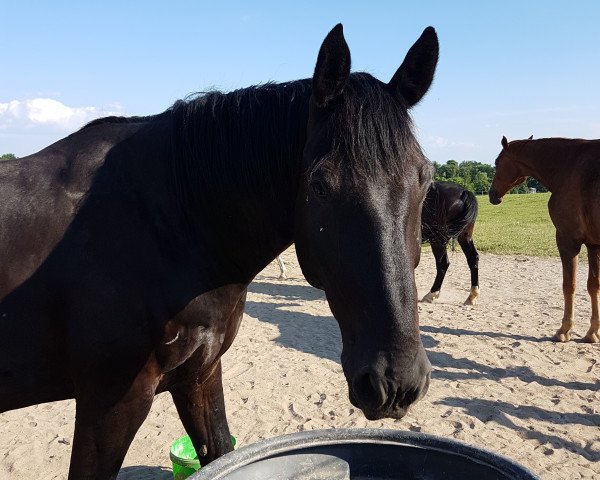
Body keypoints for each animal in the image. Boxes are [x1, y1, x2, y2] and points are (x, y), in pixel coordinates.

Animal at [0, 24, 440, 478]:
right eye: (320, 186)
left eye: (426, 180)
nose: (396, 382)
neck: (168, 228)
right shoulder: (108, 406)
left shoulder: (200, 375)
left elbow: (220, 451)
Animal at [490, 137, 600, 344]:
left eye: (497, 162)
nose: (492, 194)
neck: (569, 166)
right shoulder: (593, 245)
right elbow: (593, 286)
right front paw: (592, 332)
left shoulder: (567, 240)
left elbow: (569, 285)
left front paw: (564, 330)